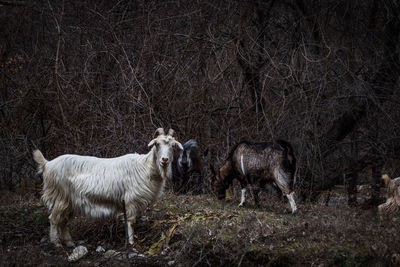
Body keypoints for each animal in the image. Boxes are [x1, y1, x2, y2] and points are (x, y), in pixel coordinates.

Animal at [32, 129, 183, 248]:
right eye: (157, 144)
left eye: (173, 146)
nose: (164, 160)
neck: (145, 167)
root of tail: (47, 164)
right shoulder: (130, 200)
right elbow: (131, 222)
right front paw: (131, 242)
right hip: (60, 197)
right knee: (53, 219)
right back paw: (56, 243)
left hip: (69, 201)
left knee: (62, 221)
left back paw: (69, 243)